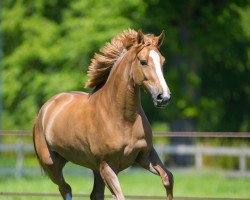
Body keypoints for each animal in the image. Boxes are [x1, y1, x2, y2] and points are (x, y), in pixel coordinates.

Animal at [32, 28, 174, 199]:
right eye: (143, 62)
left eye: (163, 61)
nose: (163, 97)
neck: (123, 119)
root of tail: (45, 109)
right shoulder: (107, 165)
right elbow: (120, 196)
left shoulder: (145, 156)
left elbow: (168, 178)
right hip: (52, 164)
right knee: (65, 188)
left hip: (93, 167)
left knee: (94, 193)